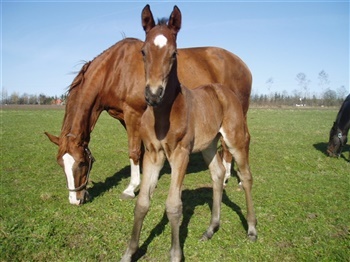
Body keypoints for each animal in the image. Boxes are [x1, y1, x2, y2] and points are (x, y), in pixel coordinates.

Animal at [121, 6, 258, 262]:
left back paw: (252, 229)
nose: (153, 94)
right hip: (209, 145)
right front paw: (129, 252)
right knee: (217, 174)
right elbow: (142, 203)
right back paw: (211, 228)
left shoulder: (180, 154)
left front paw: (175, 254)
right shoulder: (153, 154)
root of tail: (224, 91)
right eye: (143, 51)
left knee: (245, 177)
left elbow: (174, 205)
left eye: (174, 54)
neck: (163, 114)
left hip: (235, 139)